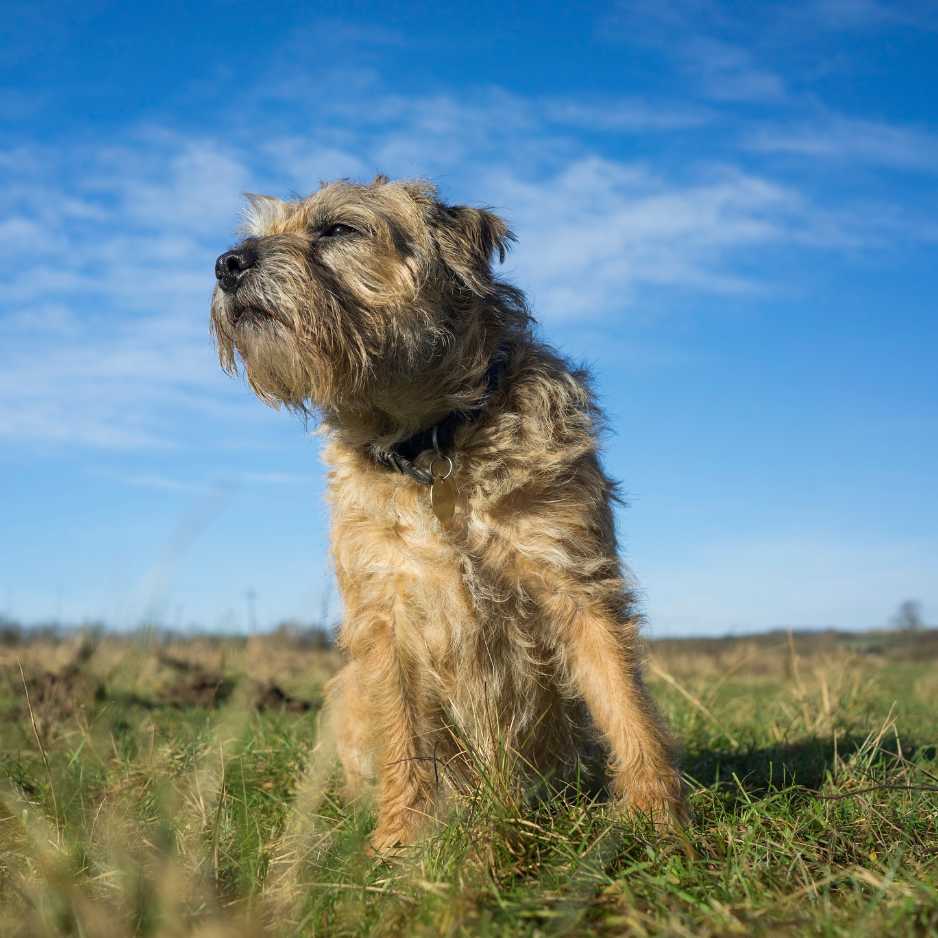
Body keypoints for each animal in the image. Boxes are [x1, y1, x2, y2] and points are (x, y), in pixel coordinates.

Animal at [210, 174, 680, 848]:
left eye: (338, 229)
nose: (227, 264)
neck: (432, 443)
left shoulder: (574, 577)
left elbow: (622, 698)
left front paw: (656, 815)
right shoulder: (386, 614)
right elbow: (404, 731)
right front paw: (401, 839)